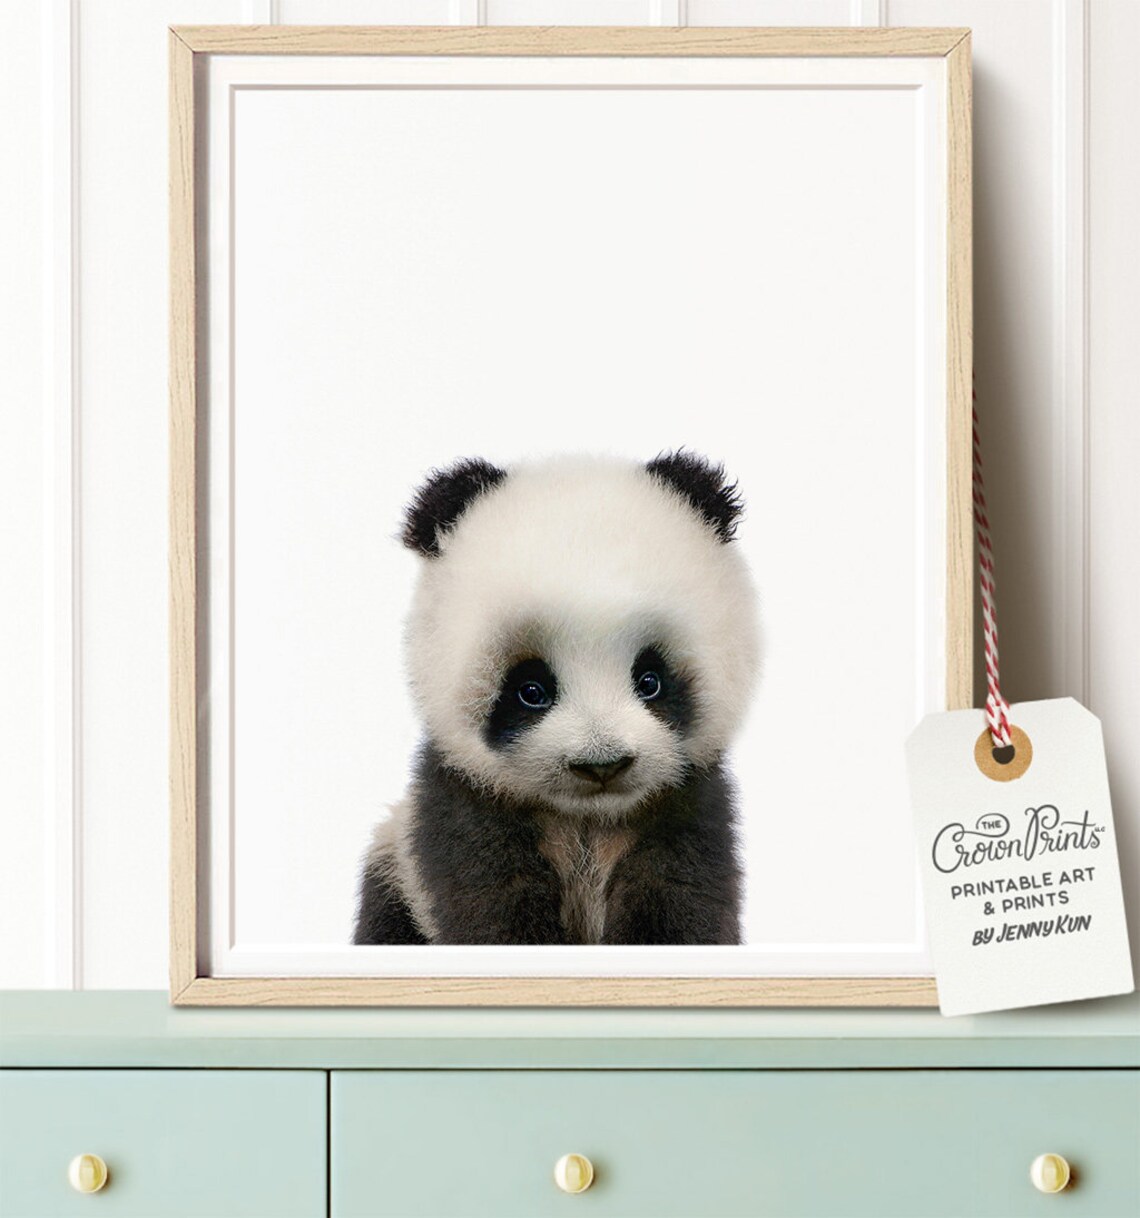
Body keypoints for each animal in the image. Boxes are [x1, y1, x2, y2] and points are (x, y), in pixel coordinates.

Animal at [353, 449, 760, 947]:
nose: (602, 765)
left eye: (650, 680)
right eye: (531, 690)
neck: (586, 818)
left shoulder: (687, 805)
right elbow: (490, 897)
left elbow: (679, 893)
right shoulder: (462, 804)